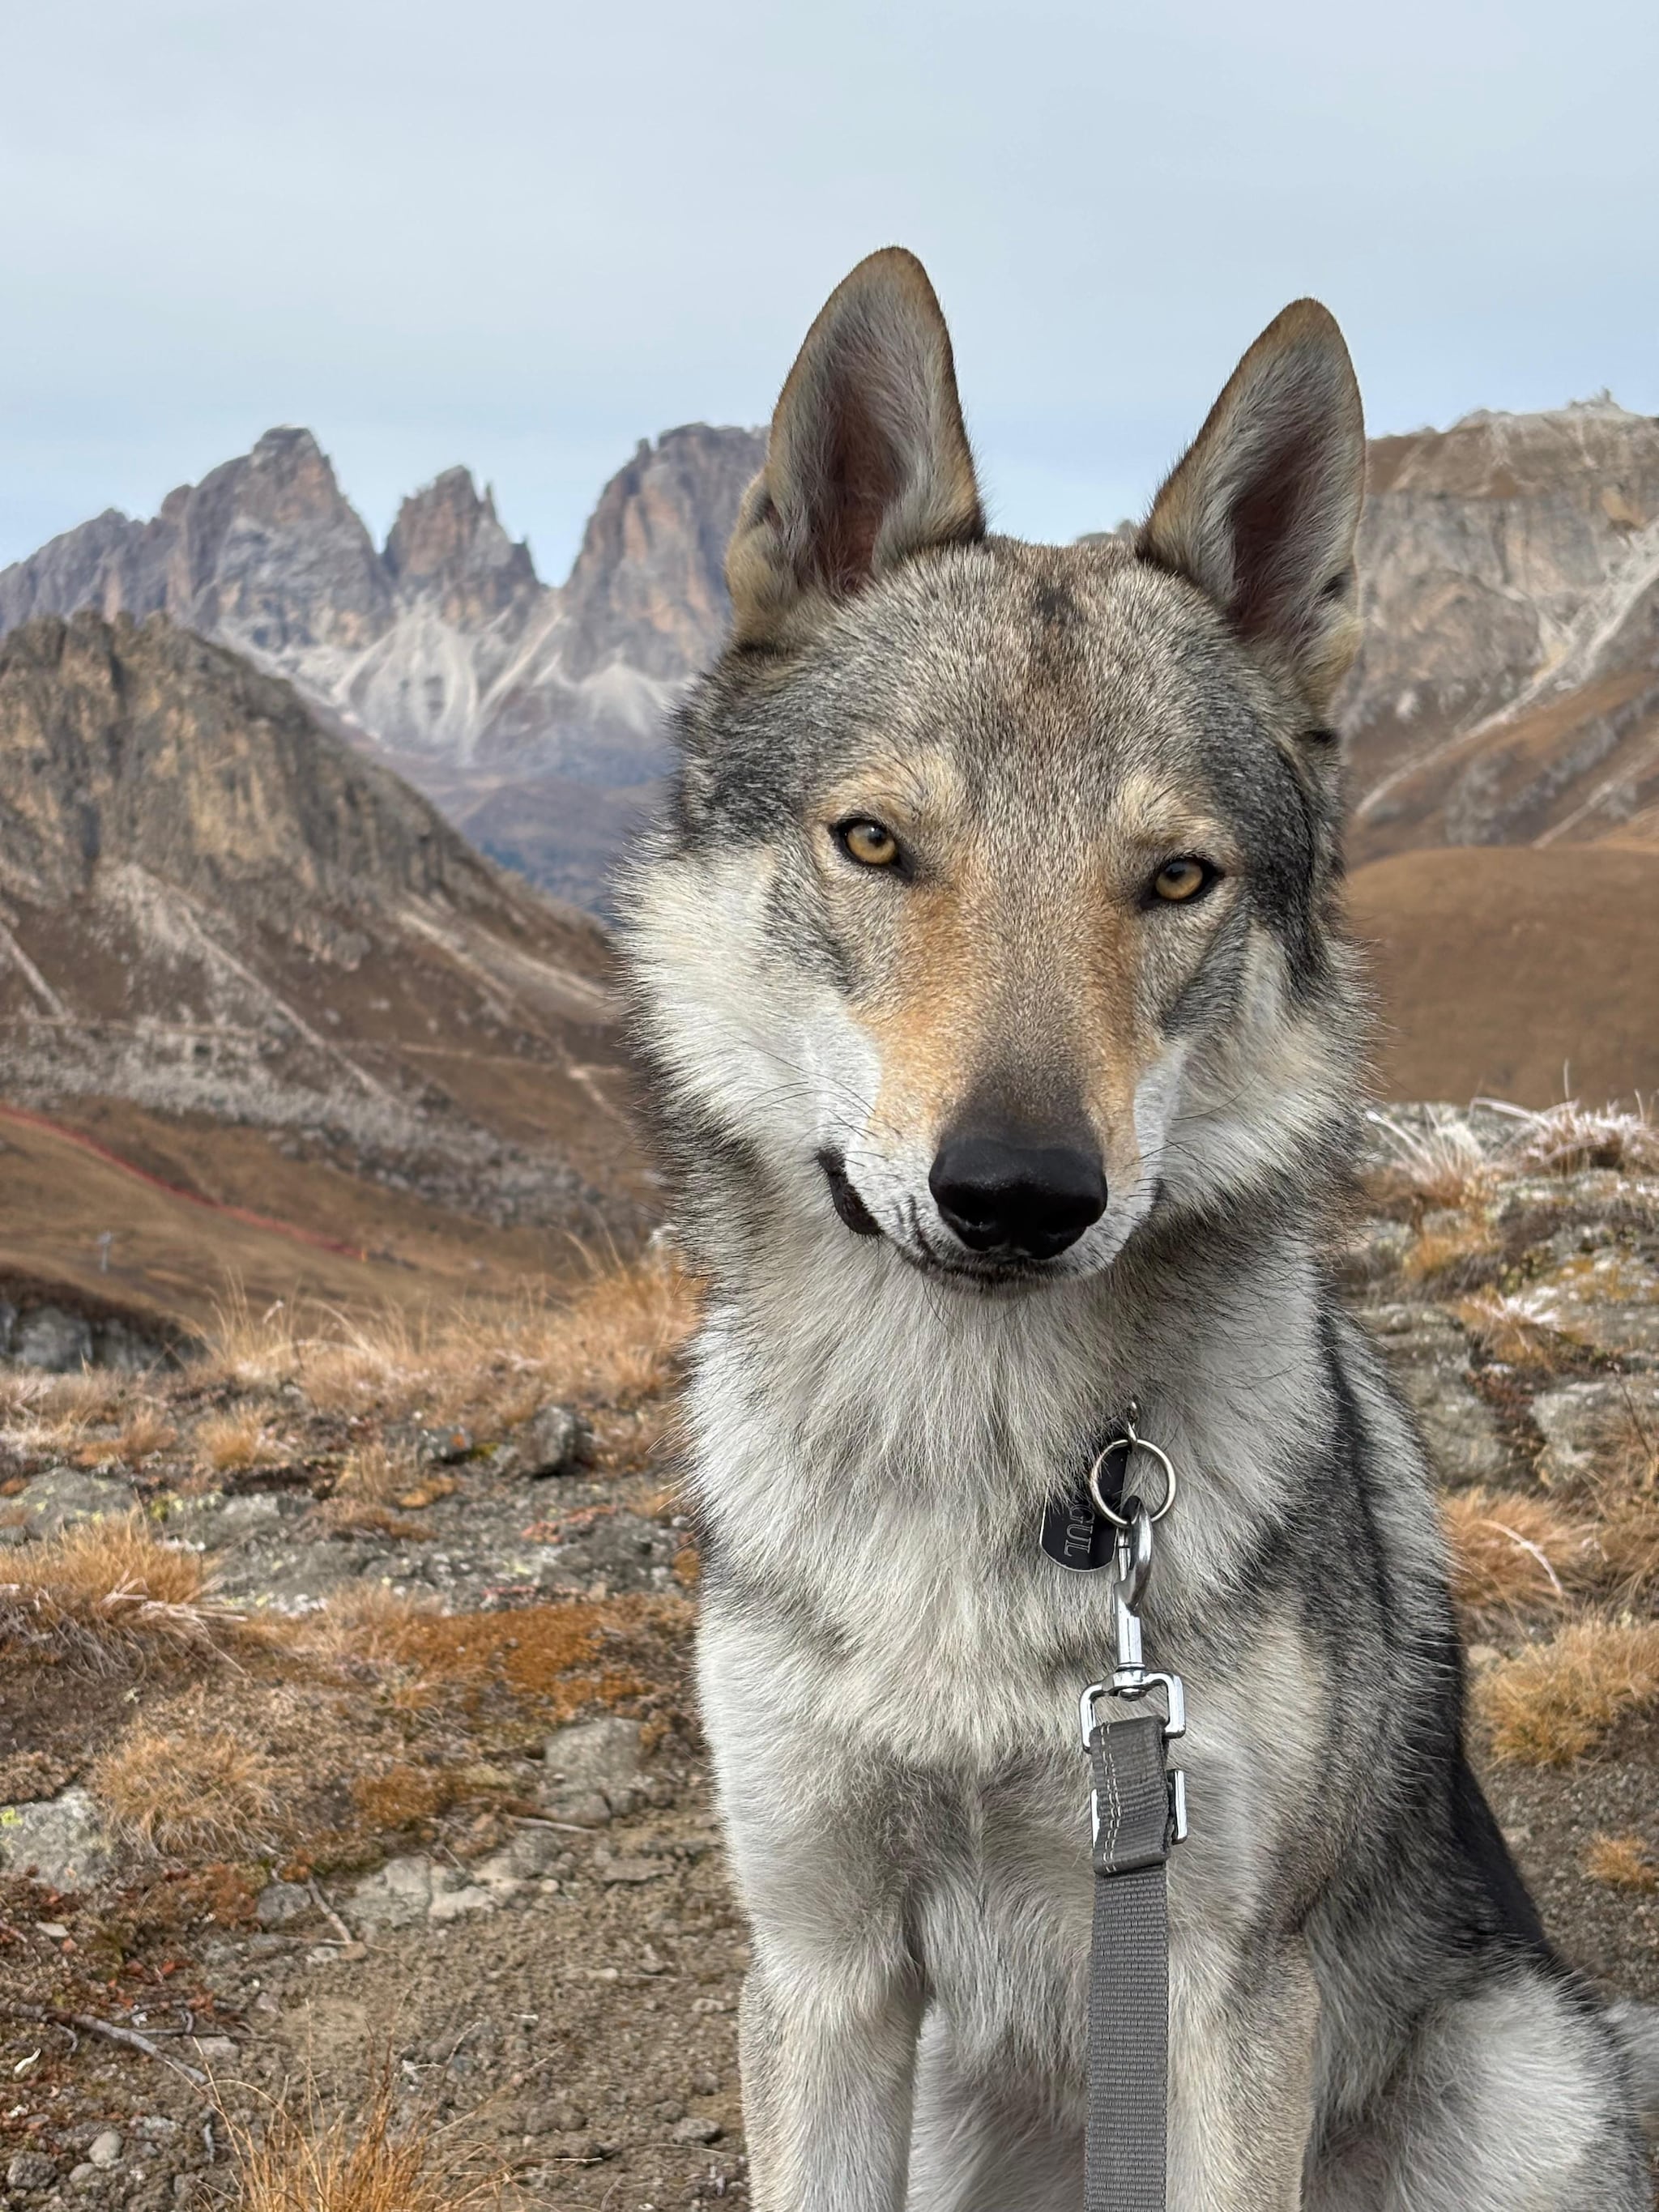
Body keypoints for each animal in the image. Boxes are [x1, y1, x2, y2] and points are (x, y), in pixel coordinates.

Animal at [620, 248, 1659, 2209]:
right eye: (875, 844)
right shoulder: (819, 1965)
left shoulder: (1222, 1984)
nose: (1019, 1193)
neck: (967, 1441)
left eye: (1175, 880)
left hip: (1519, 2079)